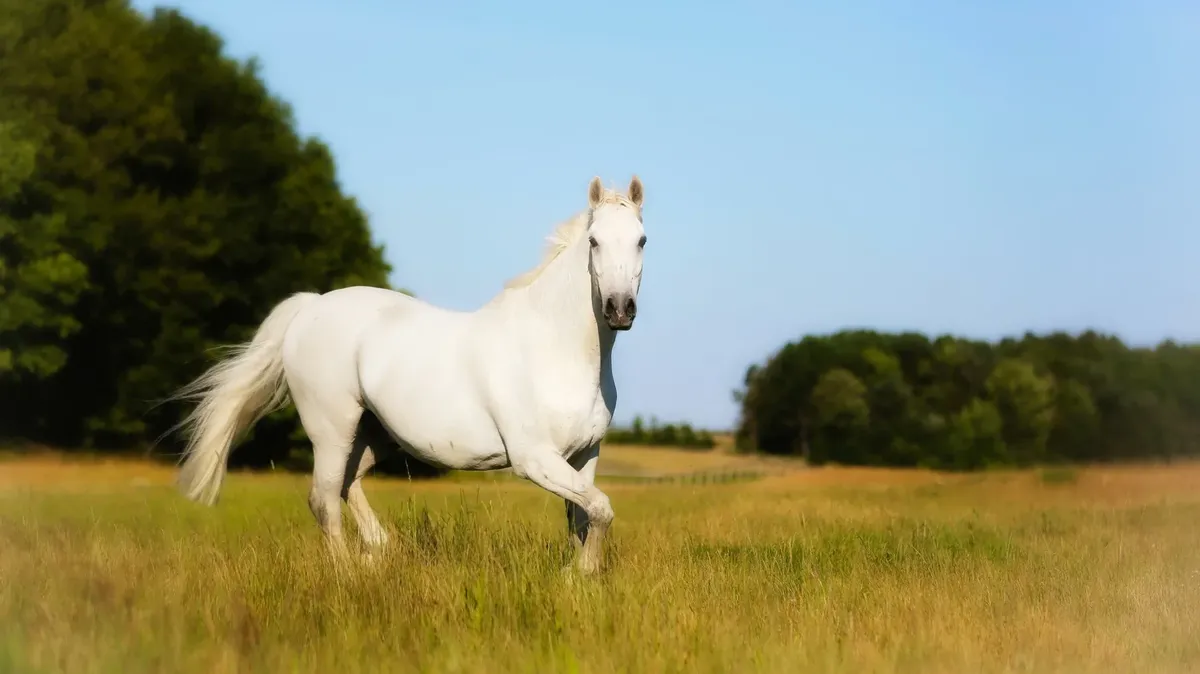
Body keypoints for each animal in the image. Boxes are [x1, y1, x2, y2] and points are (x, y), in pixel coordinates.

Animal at [169, 173, 648, 570]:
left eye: (642, 240)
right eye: (594, 241)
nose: (619, 310)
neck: (555, 350)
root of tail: (311, 306)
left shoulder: (584, 456)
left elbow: (584, 518)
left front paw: (579, 576)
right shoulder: (534, 459)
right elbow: (602, 509)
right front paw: (579, 574)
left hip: (375, 435)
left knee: (347, 484)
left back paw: (378, 550)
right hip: (332, 428)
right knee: (324, 498)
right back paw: (347, 570)